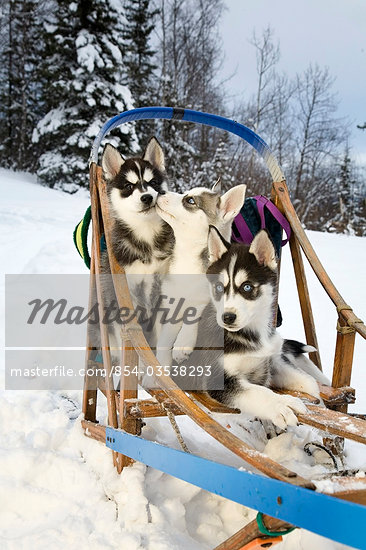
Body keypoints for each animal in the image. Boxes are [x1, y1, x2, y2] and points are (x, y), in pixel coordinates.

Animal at [204, 229, 330, 432]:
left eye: (247, 286)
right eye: (218, 287)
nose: (227, 317)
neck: (253, 335)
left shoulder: (272, 362)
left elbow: (309, 383)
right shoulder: (218, 377)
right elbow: (257, 392)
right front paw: (280, 406)